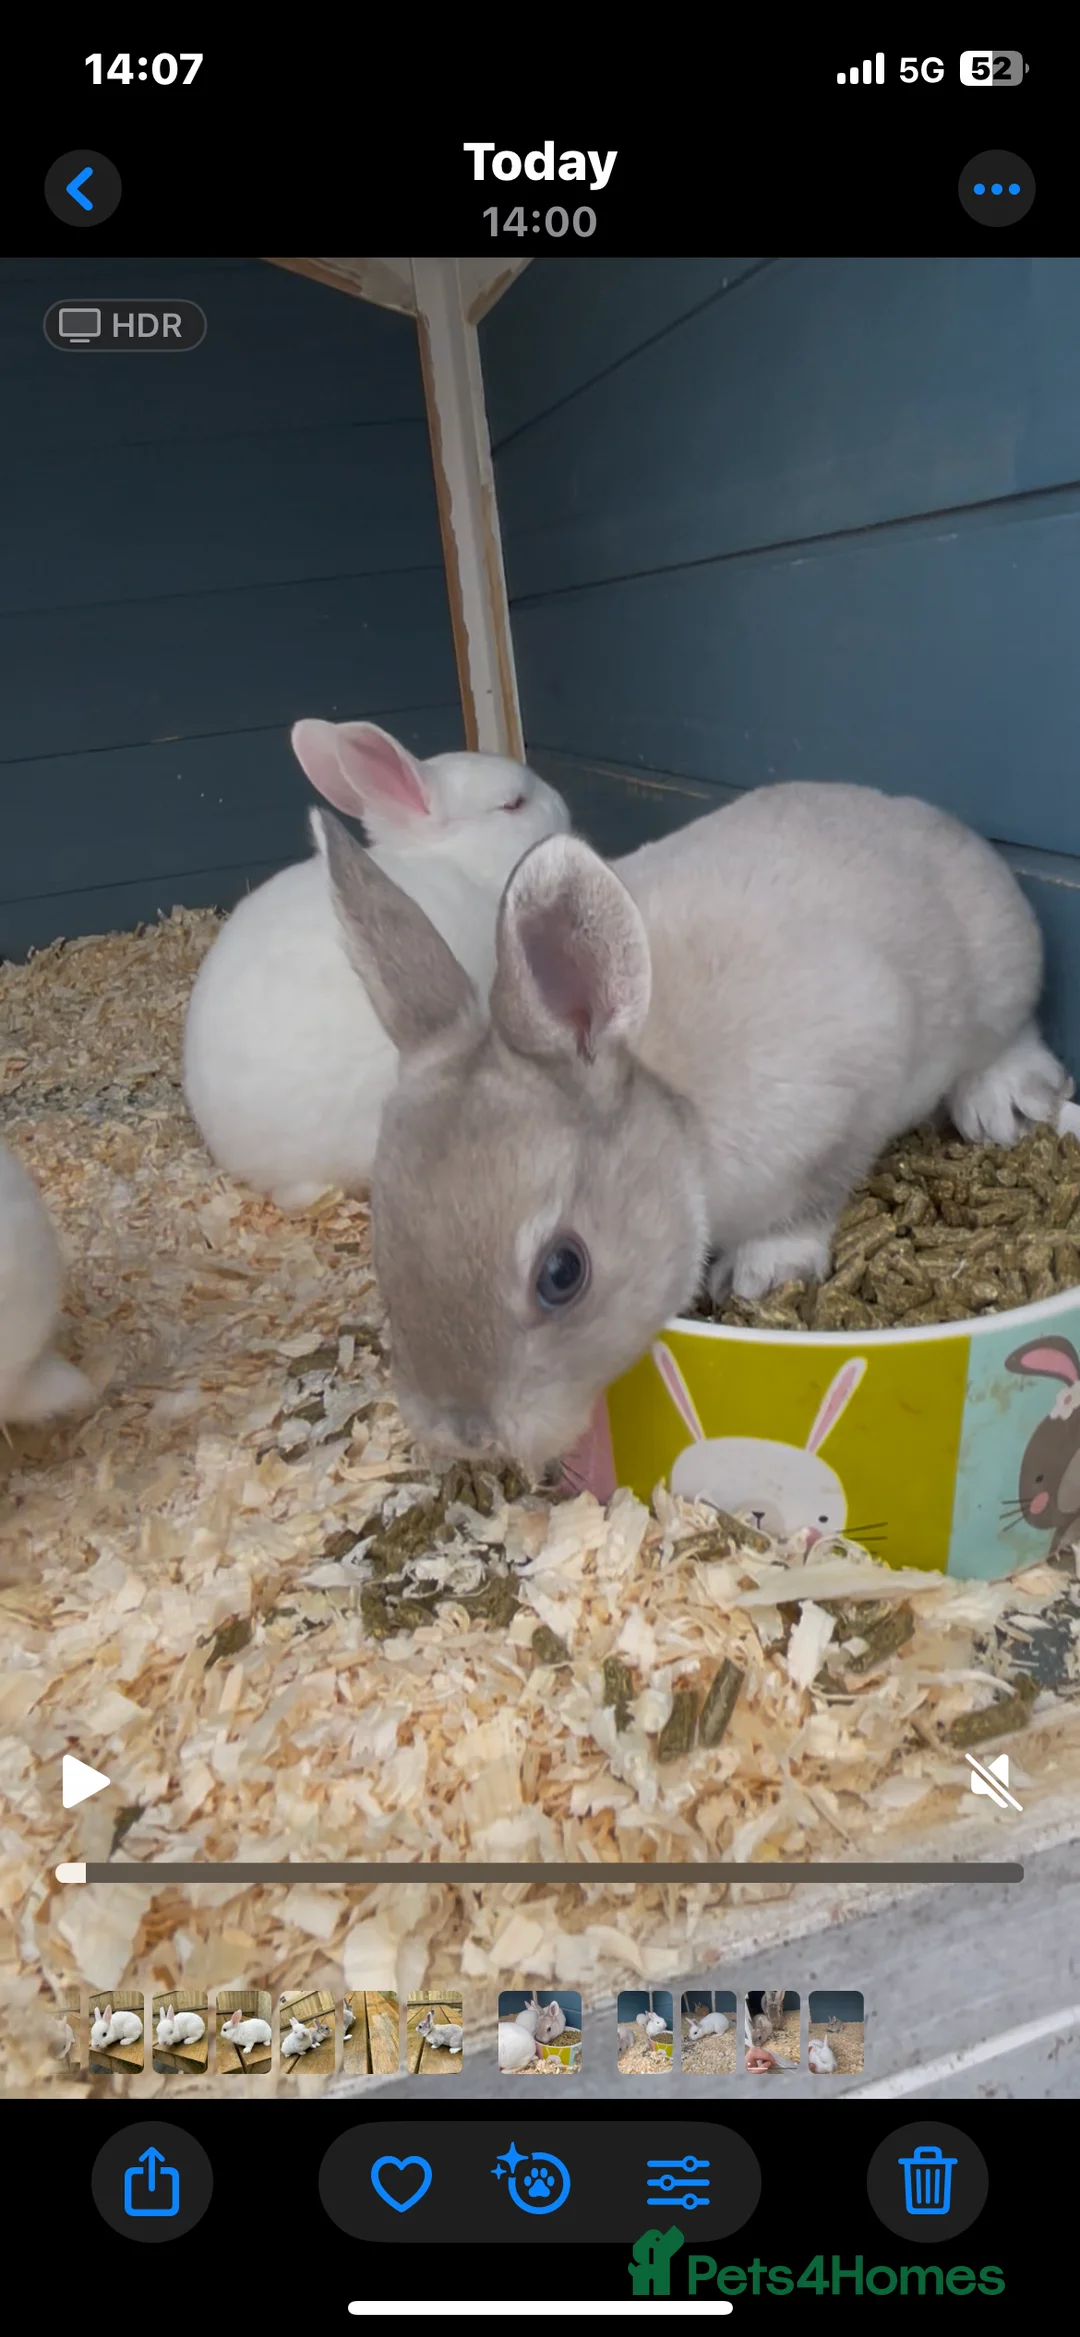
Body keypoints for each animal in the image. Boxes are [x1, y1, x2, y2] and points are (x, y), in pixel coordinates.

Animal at [308, 777, 1070, 1474]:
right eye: (383, 1241)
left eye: (562, 1272)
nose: (466, 1436)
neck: (680, 1132)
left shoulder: (847, 1104)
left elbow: (811, 1200)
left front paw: (763, 1271)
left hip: (998, 987)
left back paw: (1002, 1103)